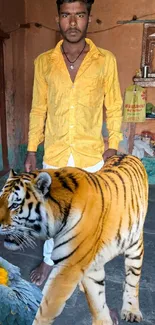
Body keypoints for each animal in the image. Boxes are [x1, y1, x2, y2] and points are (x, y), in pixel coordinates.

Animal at [0, 155, 148, 324]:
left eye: (14, 205)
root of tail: (130, 155)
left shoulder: (69, 266)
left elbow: (46, 308)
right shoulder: (88, 267)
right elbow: (97, 302)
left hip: (135, 246)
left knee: (133, 279)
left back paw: (131, 310)